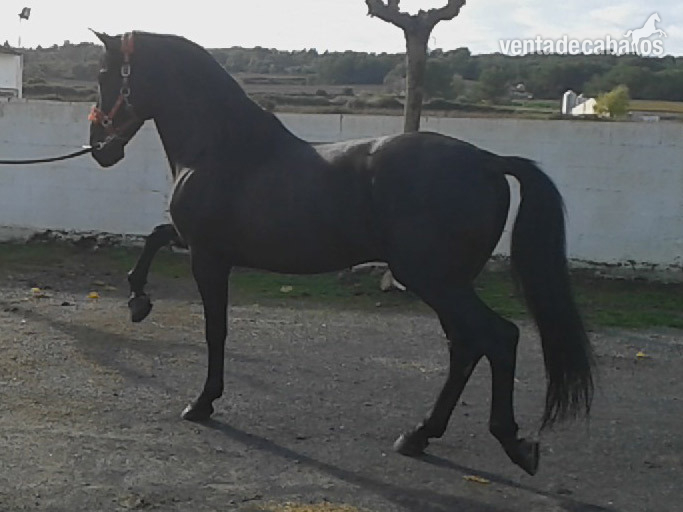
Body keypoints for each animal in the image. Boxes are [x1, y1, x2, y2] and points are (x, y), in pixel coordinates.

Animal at [88, 30, 594, 475]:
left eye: (105, 73)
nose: (98, 148)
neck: (223, 147)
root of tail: (488, 161)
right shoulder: (193, 241)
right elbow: (154, 237)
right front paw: (137, 301)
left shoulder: (208, 257)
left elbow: (216, 331)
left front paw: (202, 402)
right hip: (447, 283)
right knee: (466, 347)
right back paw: (419, 435)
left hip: (435, 280)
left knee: (497, 338)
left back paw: (513, 443)